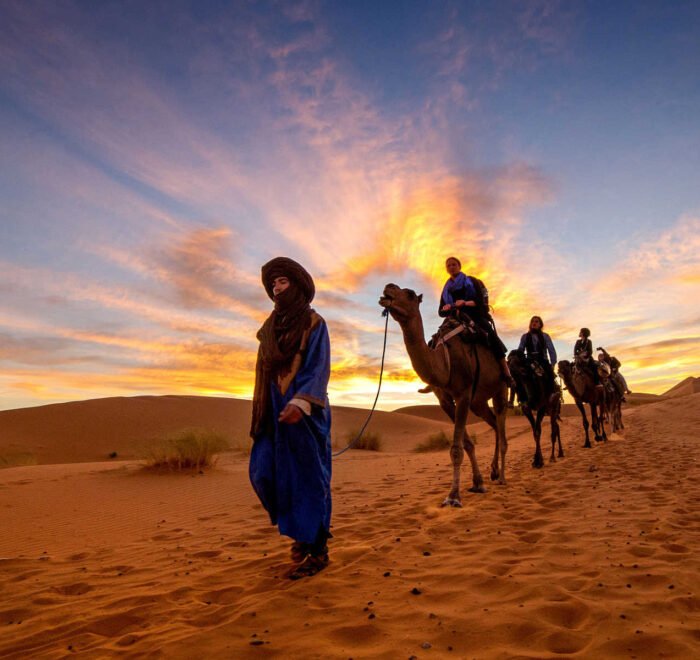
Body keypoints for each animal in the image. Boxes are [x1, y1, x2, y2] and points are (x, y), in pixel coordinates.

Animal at [378, 282, 508, 508]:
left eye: (409, 294)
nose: (388, 287)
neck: (444, 362)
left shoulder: (463, 394)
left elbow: (456, 449)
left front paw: (453, 496)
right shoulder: (445, 400)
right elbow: (467, 444)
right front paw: (478, 483)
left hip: (500, 389)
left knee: (501, 428)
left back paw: (501, 477)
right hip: (479, 402)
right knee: (493, 424)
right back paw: (493, 471)